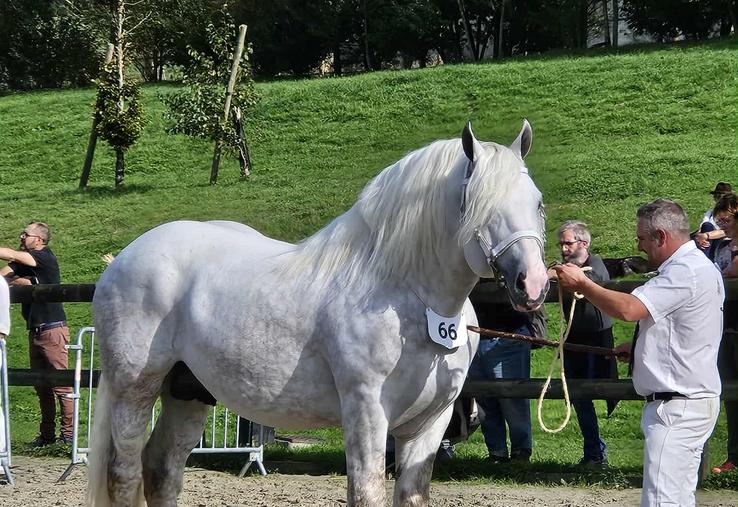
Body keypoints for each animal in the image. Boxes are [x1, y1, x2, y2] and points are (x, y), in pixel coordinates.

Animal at [86, 120, 549, 507]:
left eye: (538, 203)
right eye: (481, 206)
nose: (533, 284)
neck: (410, 300)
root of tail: (123, 259)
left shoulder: (431, 424)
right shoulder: (366, 411)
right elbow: (366, 494)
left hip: (189, 392)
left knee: (162, 469)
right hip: (134, 389)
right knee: (124, 475)